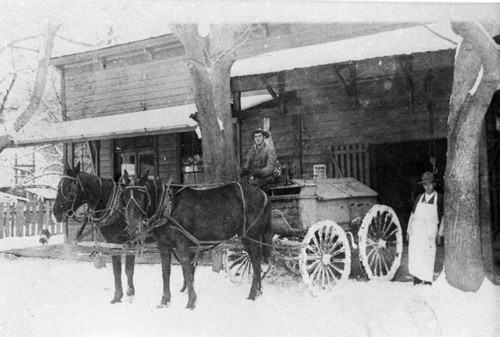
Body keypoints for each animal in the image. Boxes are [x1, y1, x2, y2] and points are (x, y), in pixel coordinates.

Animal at [52, 161, 138, 304]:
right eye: (59, 186)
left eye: (69, 188)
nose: (55, 214)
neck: (118, 206)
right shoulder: (113, 243)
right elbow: (117, 270)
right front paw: (117, 296)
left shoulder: (130, 243)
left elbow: (129, 270)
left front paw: (130, 294)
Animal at [123, 172, 272, 308]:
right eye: (124, 198)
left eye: (142, 196)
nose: (132, 228)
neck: (168, 207)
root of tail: (263, 194)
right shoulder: (164, 245)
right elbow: (166, 273)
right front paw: (164, 301)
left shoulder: (182, 243)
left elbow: (187, 270)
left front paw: (191, 301)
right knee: (257, 263)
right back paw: (258, 291)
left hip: (251, 237)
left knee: (256, 264)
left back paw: (252, 294)